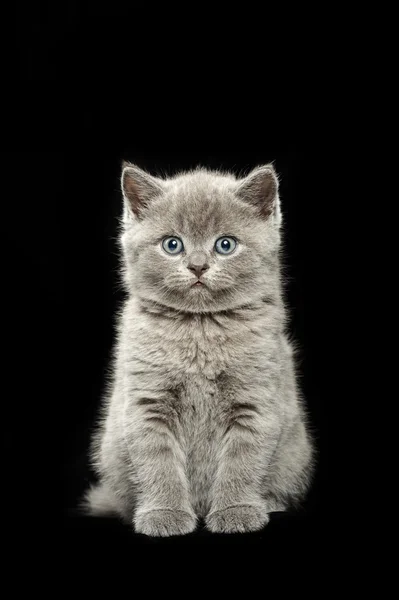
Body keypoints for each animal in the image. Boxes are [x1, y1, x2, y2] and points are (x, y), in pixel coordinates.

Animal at [83, 162, 316, 536]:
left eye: (225, 245)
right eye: (172, 244)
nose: (197, 265)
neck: (200, 330)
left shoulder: (255, 400)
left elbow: (242, 461)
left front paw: (236, 510)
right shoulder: (147, 402)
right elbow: (158, 463)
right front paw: (164, 513)